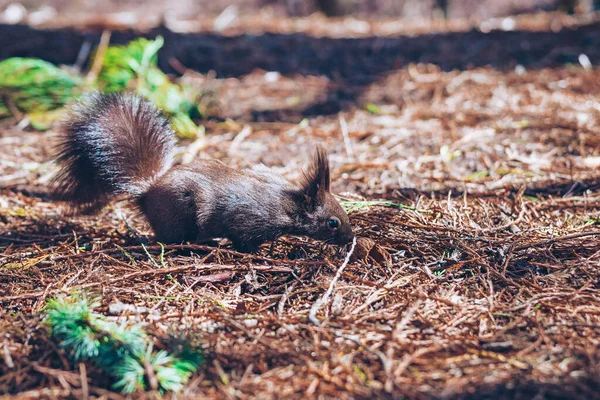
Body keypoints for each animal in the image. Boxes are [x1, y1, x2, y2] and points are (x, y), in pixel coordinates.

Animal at [54, 92, 354, 252]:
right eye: (332, 223)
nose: (351, 239)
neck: (287, 204)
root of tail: (148, 191)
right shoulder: (249, 219)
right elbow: (244, 239)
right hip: (182, 211)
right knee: (169, 237)